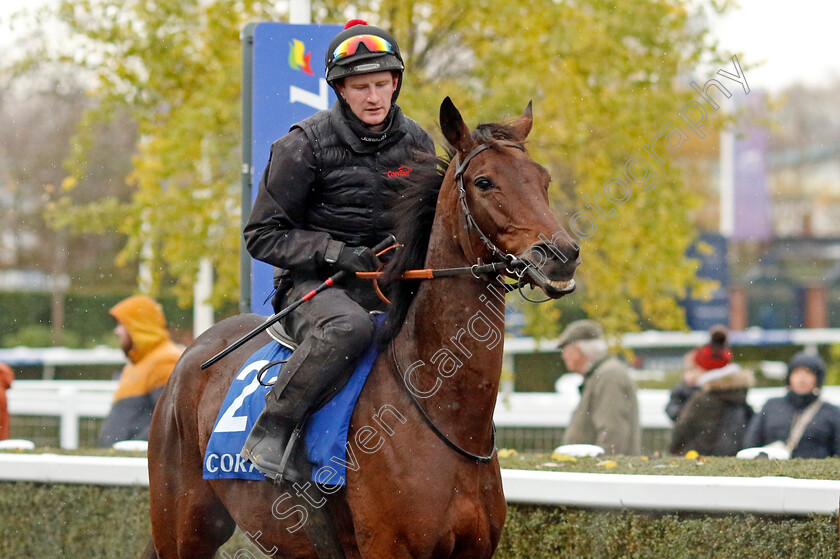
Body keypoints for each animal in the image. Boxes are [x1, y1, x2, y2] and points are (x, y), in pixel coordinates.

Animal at [144, 97, 576, 559]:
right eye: (484, 181)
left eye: (544, 179)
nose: (562, 255)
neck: (444, 414)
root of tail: (193, 351)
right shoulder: (388, 545)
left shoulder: (474, 549)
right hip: (182, 528)